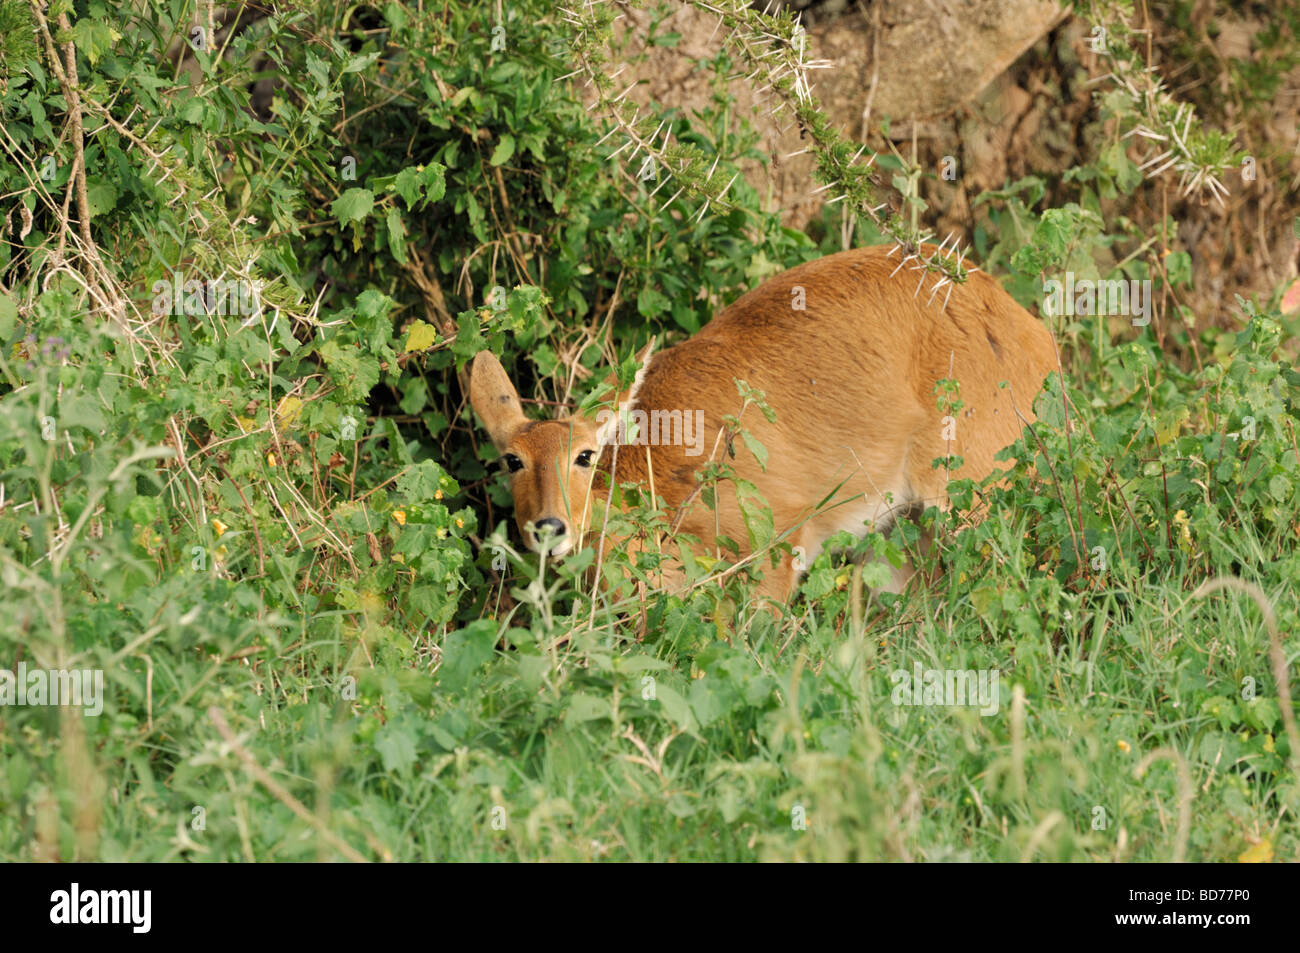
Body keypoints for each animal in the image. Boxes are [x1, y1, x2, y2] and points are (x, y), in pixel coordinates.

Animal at [467, 243, 1055, 603]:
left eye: (585, 455)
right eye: (512, 459)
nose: (549, 527)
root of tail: (1033, 332)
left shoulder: (778, 549)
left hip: (973, 501)